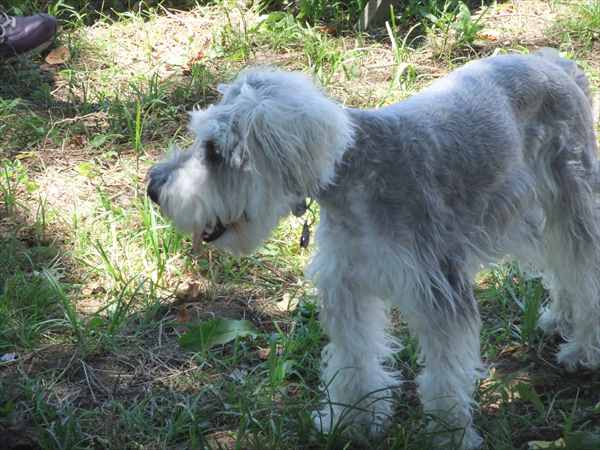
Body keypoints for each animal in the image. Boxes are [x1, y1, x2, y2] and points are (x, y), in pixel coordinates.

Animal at [147, 48, 600, 449]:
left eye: (215, 151)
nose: (154, 188)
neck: (356, 175)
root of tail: (555, 64)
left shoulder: (439, 294)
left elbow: (444, 377)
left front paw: (448, 435)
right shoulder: (347, 287)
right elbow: (354, 361)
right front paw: (350, 422)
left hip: (572, 208)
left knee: (584, 275)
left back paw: (582, 349)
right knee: (562, 270)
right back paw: (560, 317)